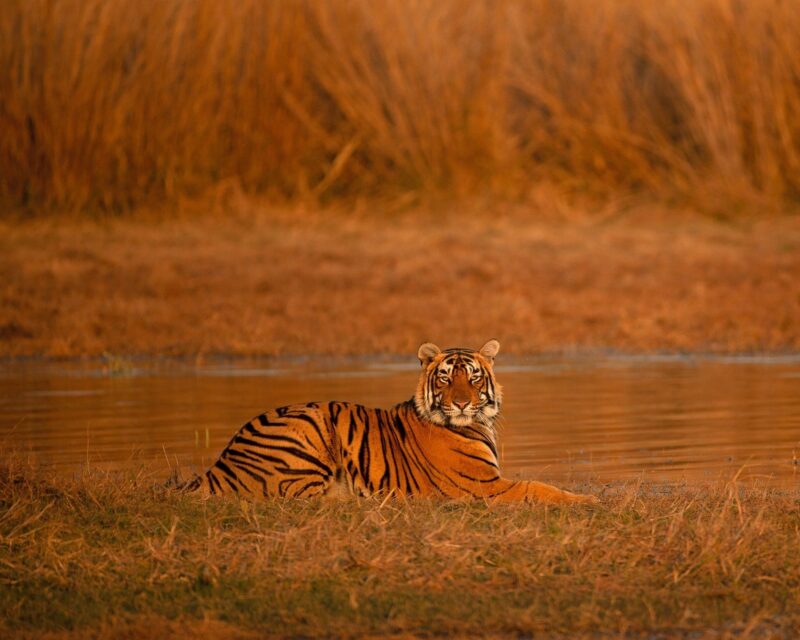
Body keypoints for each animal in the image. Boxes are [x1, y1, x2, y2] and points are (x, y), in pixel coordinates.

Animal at [183, 340, 597, 505]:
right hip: (309, 425)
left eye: (474, 377)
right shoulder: (485, 487)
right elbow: (539, 487)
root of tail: (219, 464)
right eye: (445, 378)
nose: (462, 403)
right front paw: (589, 500)